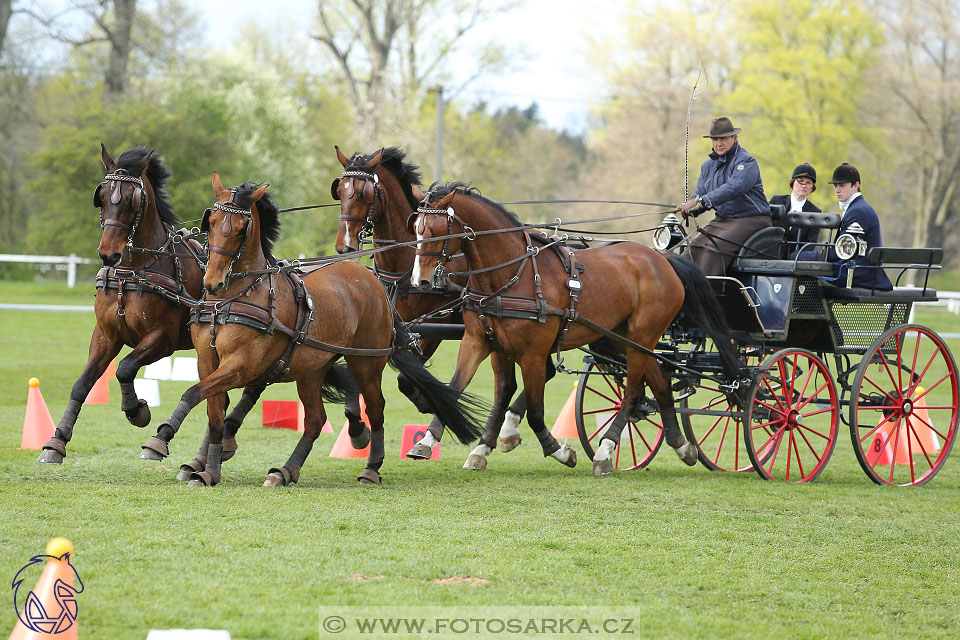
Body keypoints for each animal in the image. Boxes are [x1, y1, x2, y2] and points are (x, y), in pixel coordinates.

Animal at [38, 145, 258, 464]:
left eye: (133, 199)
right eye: (101, 195)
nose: (108, 253)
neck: (132, 271)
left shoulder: (162, 340)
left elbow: (125, 368)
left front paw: (137, 411)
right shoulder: (105, 336)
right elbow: (83, 383)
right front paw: (56, 441)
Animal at [139, 171, 484, 484]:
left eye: (240, 229)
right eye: (210, 222)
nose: (212, 281)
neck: (231, 298)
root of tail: (369, 277)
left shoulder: (240, 365)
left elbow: (193, 393)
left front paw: (161, 439)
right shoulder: (207, 361)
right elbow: (212, 414)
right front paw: (207, 470)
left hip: (365, 362)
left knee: (375, 409)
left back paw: (371, 468)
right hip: (311, 368)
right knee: (316, 419)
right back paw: (285, 471)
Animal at [332, 147, 556, 462]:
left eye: (365, 193)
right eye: (339, 190)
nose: (345, 245)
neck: (403, 267)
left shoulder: (432, 328)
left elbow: (405, 380)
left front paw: (427, 402)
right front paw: (356, 428)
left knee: (522, 379)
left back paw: (503, 433)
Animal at [408, 185, 740, 476]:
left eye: (437, 230)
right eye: (416, 228)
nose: (420, 281)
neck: (514, 274)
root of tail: (662, 258)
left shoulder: (532, 354)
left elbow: (536, 412)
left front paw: (559, 450)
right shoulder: (483, 342)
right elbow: (458, 390)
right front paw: (437, 443)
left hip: (641, 337)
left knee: (633, 392)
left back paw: (605, 451)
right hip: (626, 338)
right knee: (659, 382)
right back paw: (681, 445)